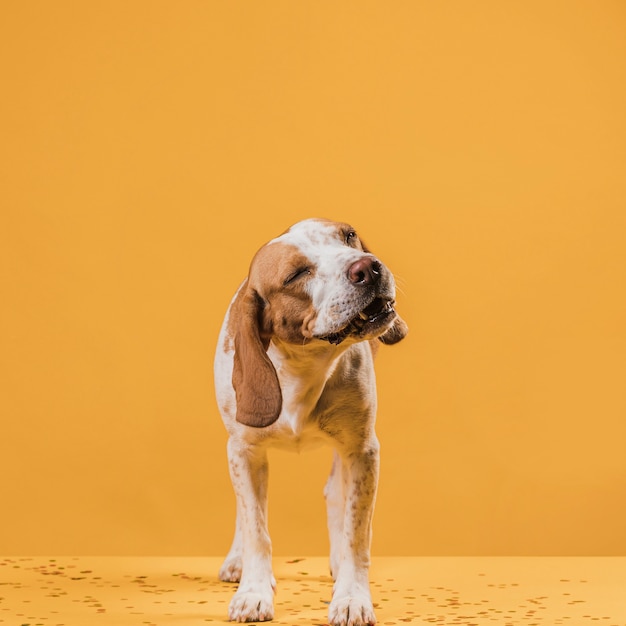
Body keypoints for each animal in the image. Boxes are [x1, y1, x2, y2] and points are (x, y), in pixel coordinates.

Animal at [212, 217, 408, 620]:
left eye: (349, 236)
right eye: (297, 274)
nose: (368, 267)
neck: (304, 367)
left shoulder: (363, 451)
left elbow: (355, 534)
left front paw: (351, 597)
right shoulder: (243, 451)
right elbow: (255, 528)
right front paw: (253, 591)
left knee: (335, 494)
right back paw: (238, 560)